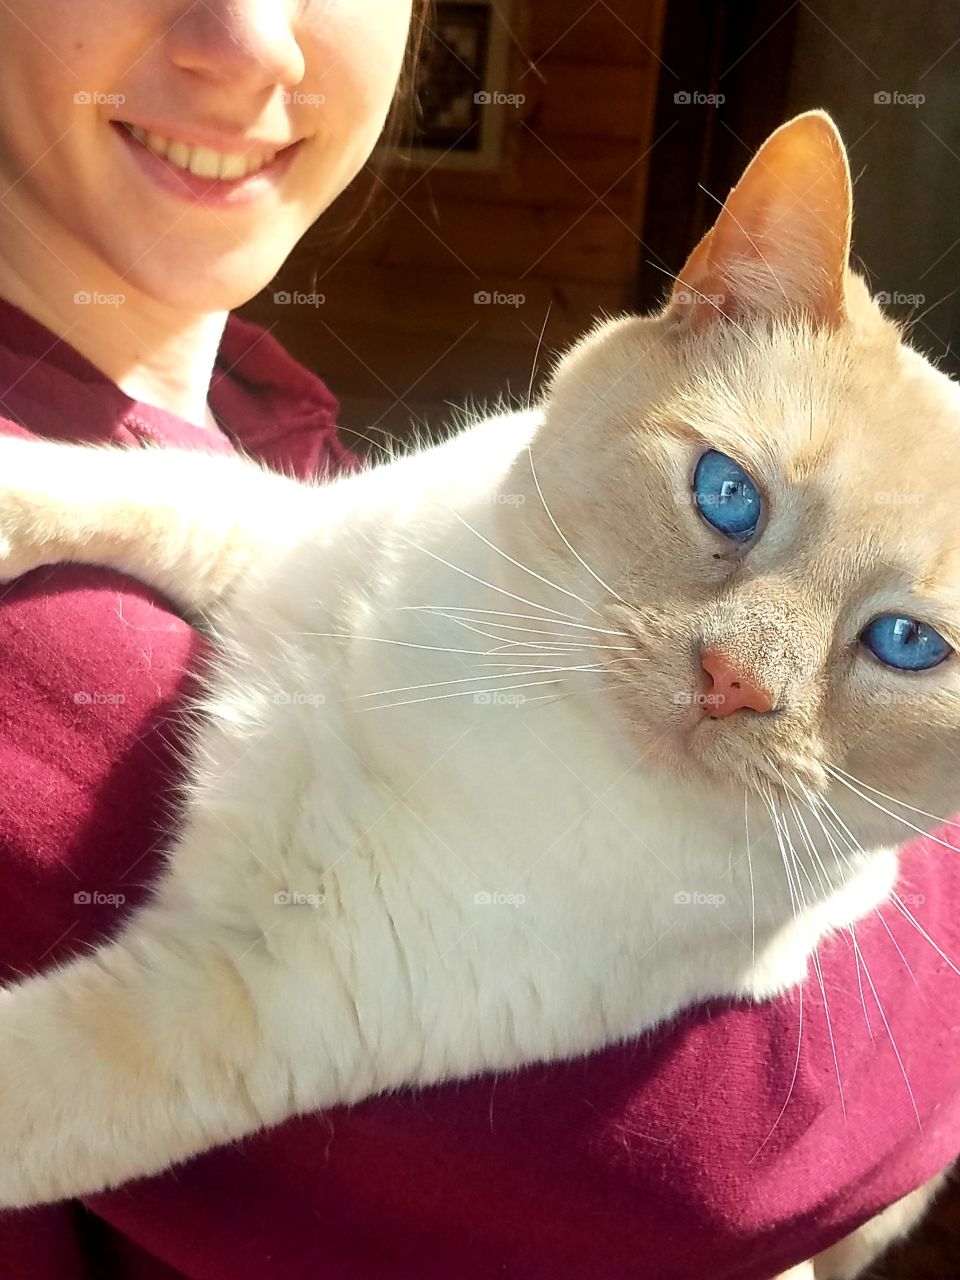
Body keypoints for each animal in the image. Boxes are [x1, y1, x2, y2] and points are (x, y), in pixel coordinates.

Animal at [0, 112, 957, 1280]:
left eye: (907, 643)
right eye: (729, 495)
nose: (734, 683)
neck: (501, 684)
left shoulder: (252, 994)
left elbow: (29, 1086)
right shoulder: (272, 534)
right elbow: (120, 485)